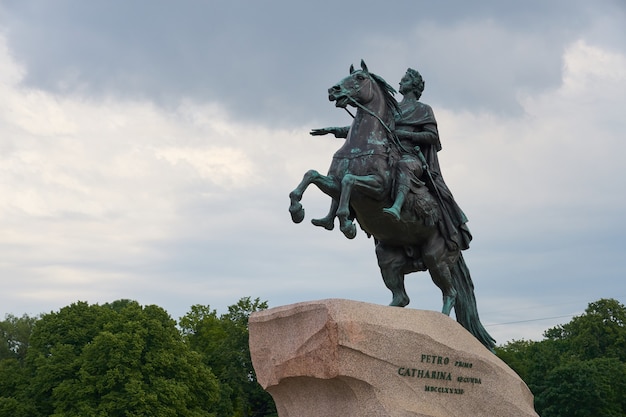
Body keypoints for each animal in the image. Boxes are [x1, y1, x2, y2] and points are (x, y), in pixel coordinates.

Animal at [286, 60, 492, 350]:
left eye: (360, 78)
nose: (333, 90)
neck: (363, 143)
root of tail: (458, 243)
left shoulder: (376, 187)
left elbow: (349, 182)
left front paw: (346, 223)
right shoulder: (332, 183)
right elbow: (311, 175)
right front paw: (299, 211)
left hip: (436, 258)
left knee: (450, 293)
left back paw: (443, 327)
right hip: (387, 259)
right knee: (401, 298)